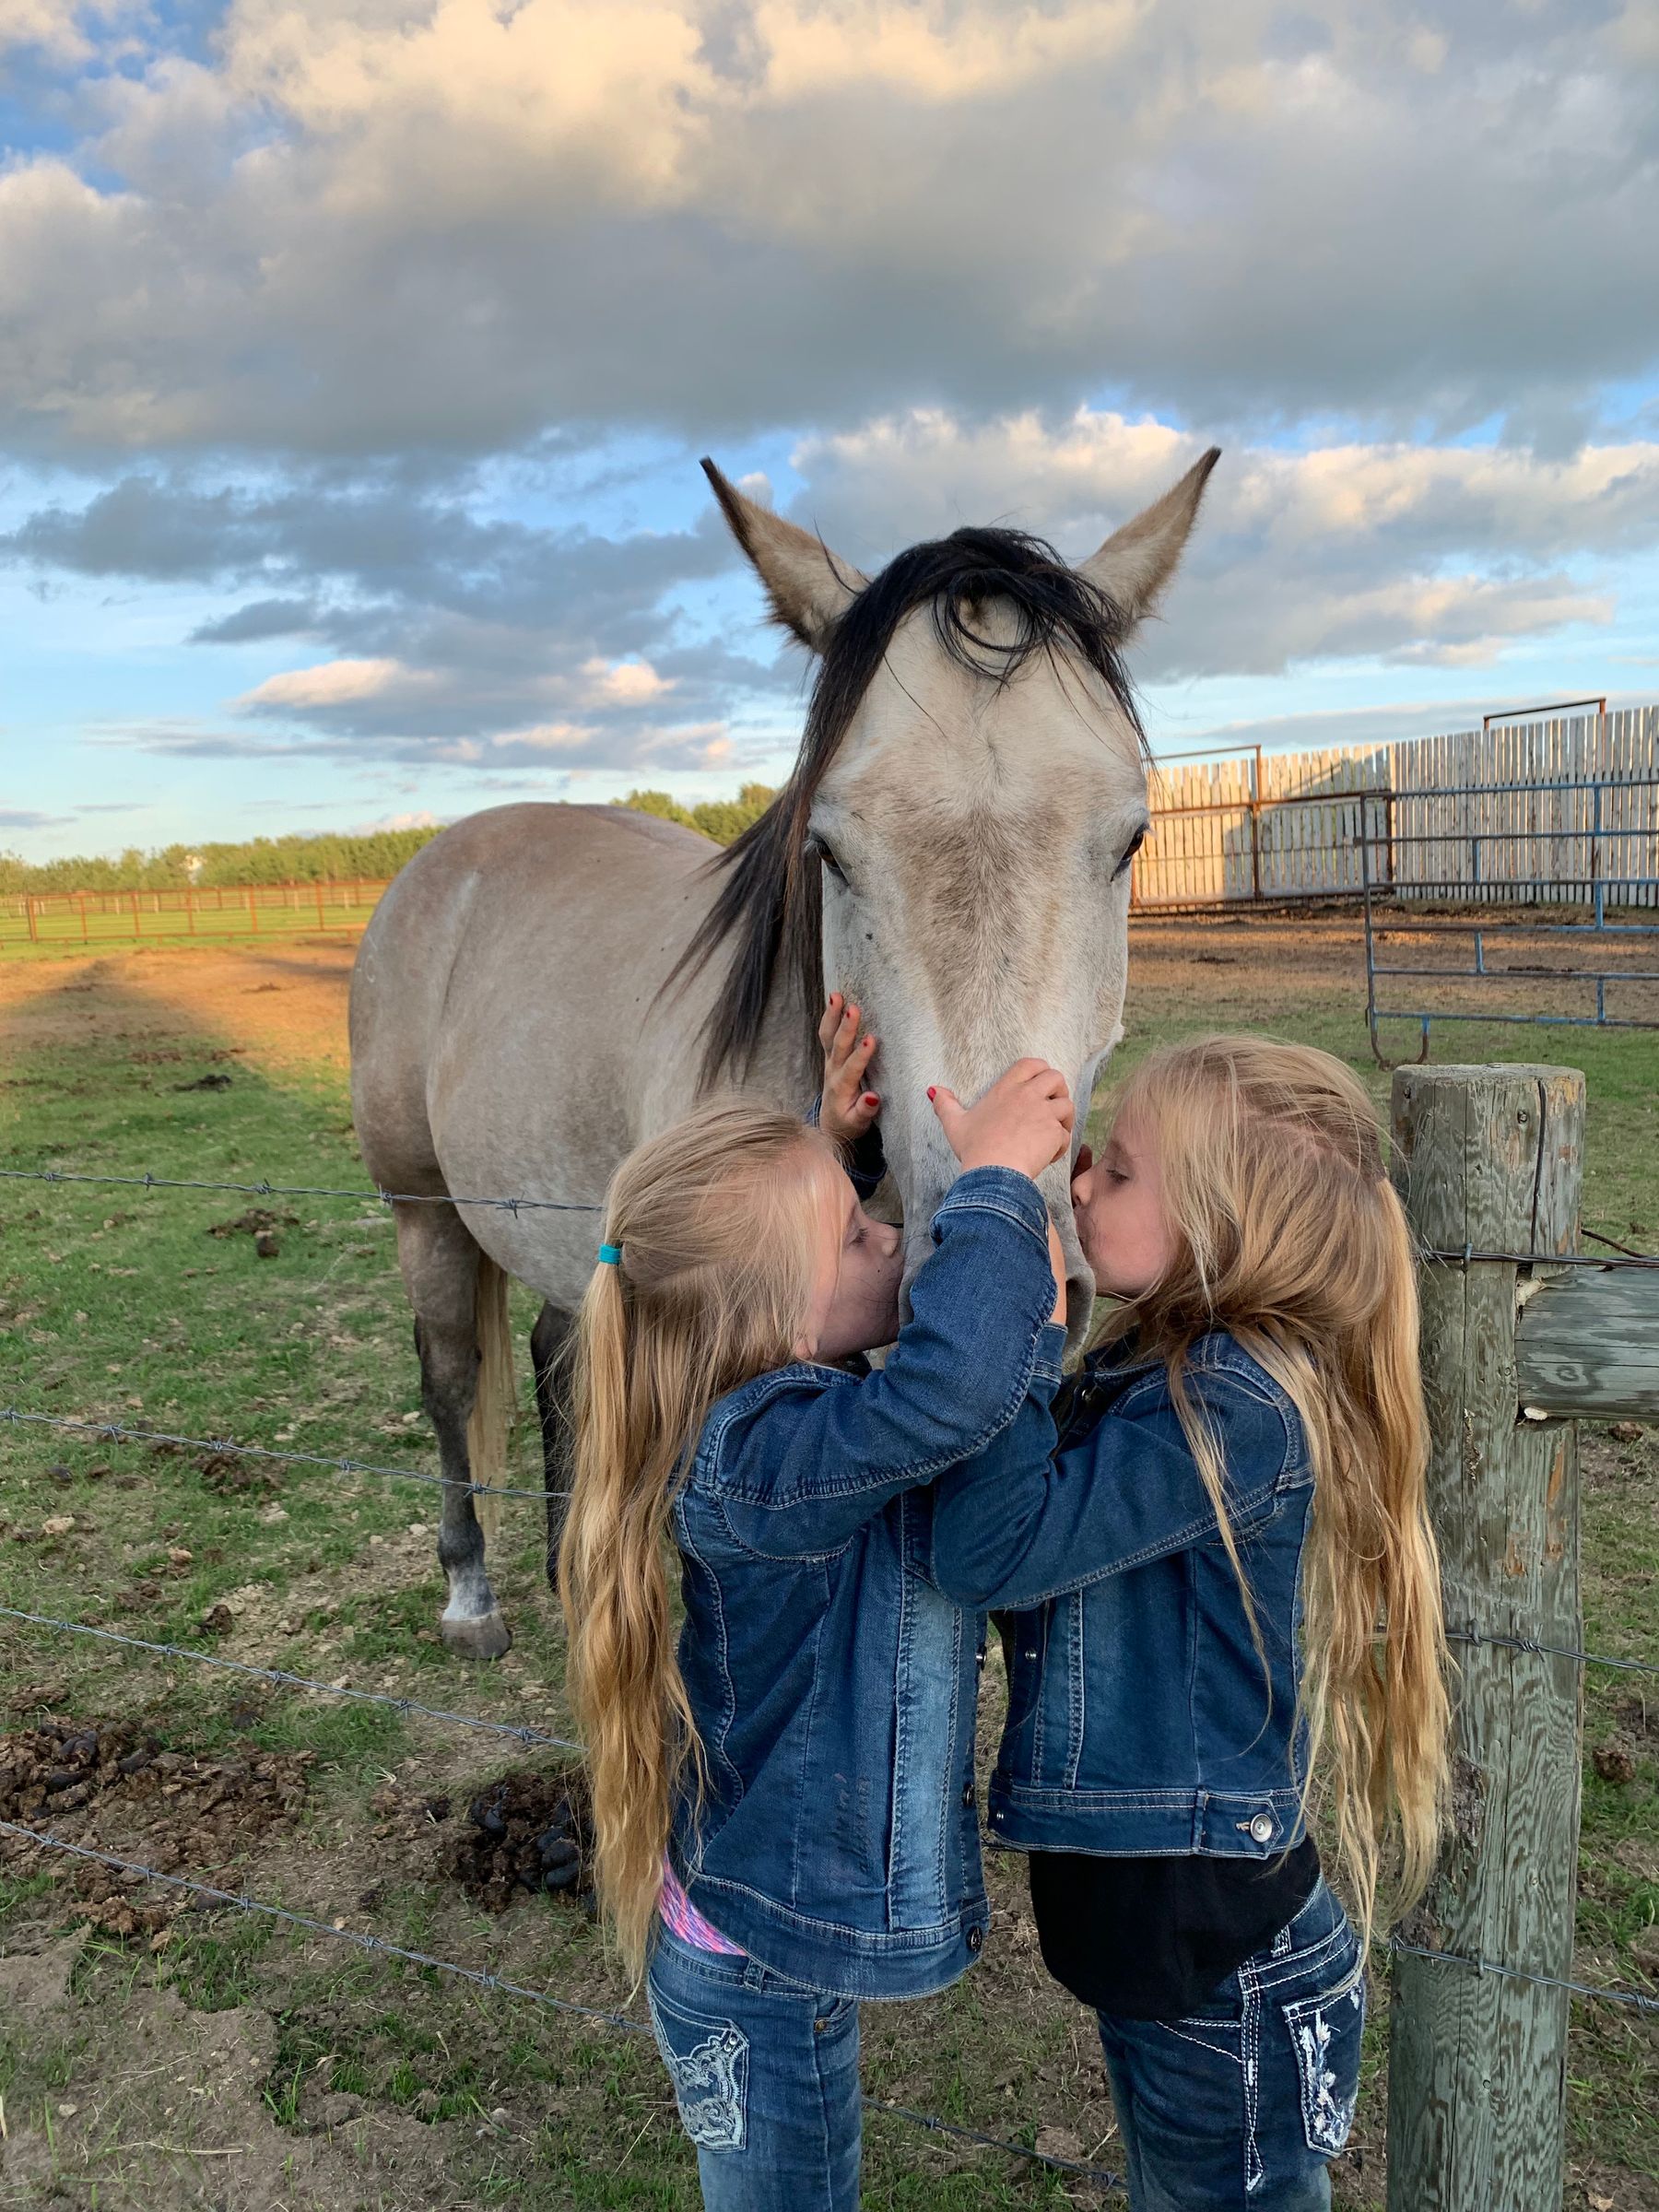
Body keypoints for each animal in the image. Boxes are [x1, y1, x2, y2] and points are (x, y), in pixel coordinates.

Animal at [348, 448, 1220, 1658]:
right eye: (829, 848)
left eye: (1130, 838)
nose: (1031, 1286)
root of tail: (444, 858)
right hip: (424, 1215)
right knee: (447, 1380)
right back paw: (471, 1595)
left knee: (554, 1358)